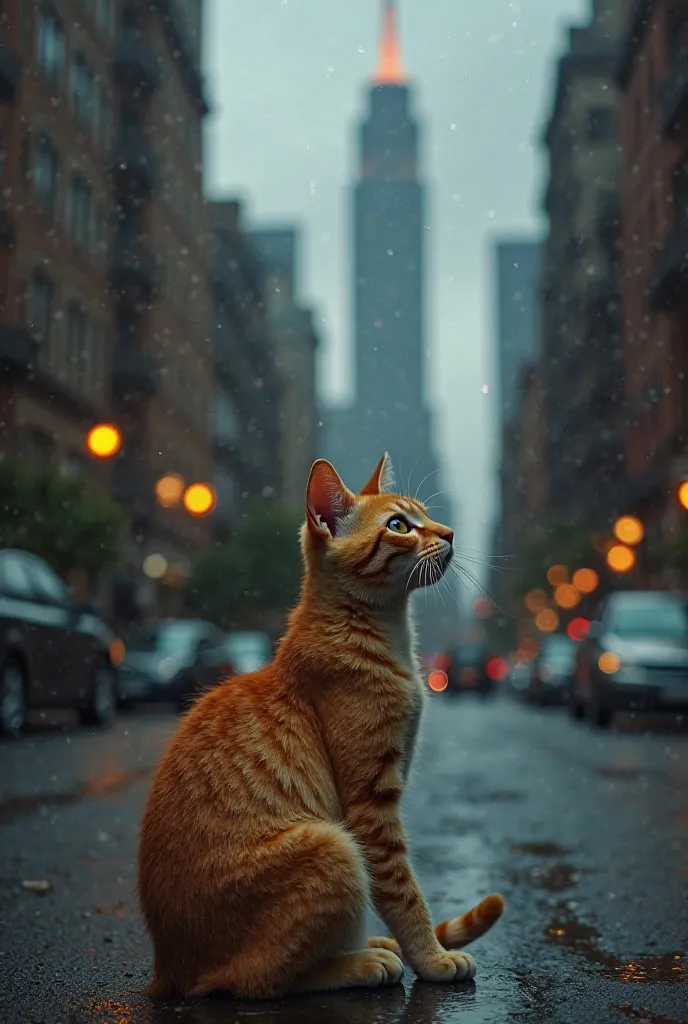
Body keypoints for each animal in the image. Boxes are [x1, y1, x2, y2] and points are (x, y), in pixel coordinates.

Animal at [138, 456, 505, 999]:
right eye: (400, 525)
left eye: (426, 515)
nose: (450, 533)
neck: (384, 633)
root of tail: (168, 968)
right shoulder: (370, 807)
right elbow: (404, 893)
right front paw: (433, 958)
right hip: (334, 847)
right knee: (257, 981)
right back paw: (361, 962)